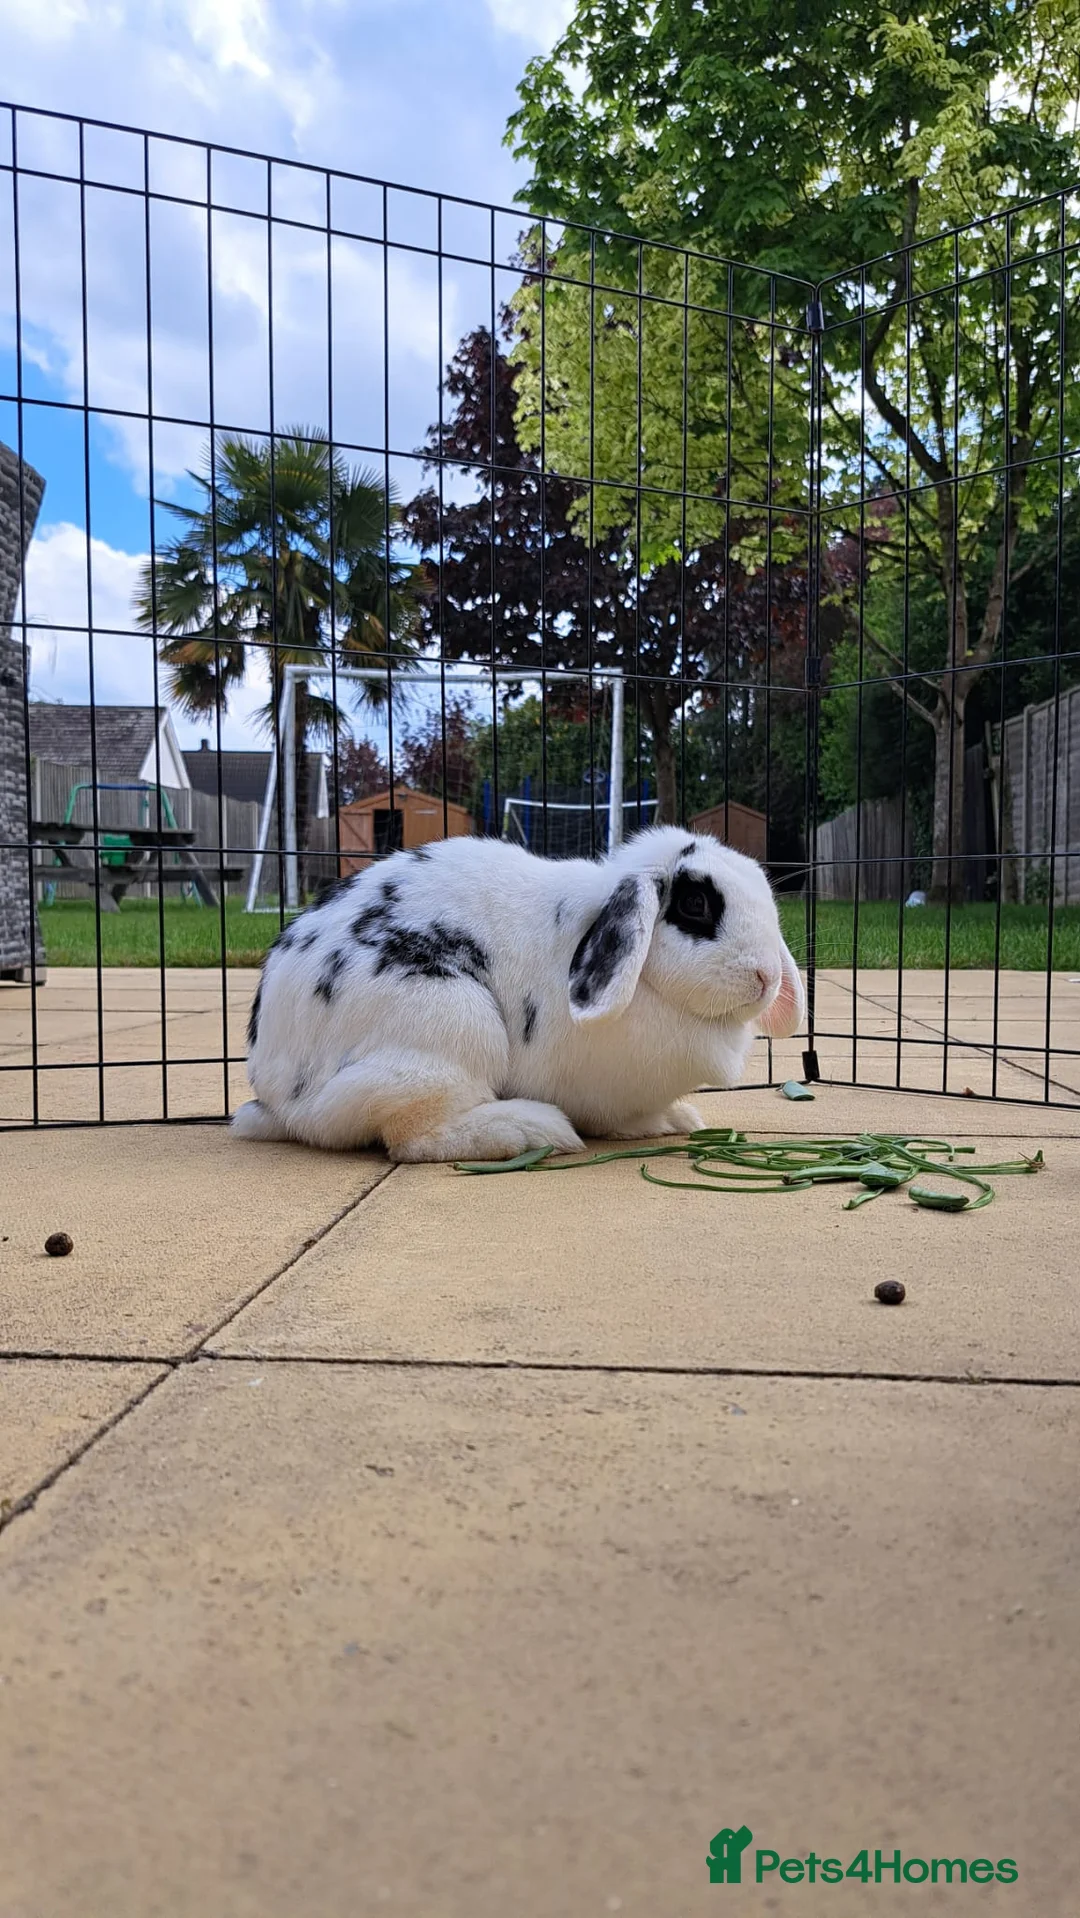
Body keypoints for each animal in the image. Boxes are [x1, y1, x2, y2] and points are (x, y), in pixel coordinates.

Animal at [232, 824, 805, 1163]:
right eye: (694, 904)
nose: (766, 977)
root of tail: (279, 1095)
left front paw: (674, 1121)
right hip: (447, 1027)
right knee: (412, 1136)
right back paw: (532, 1132)